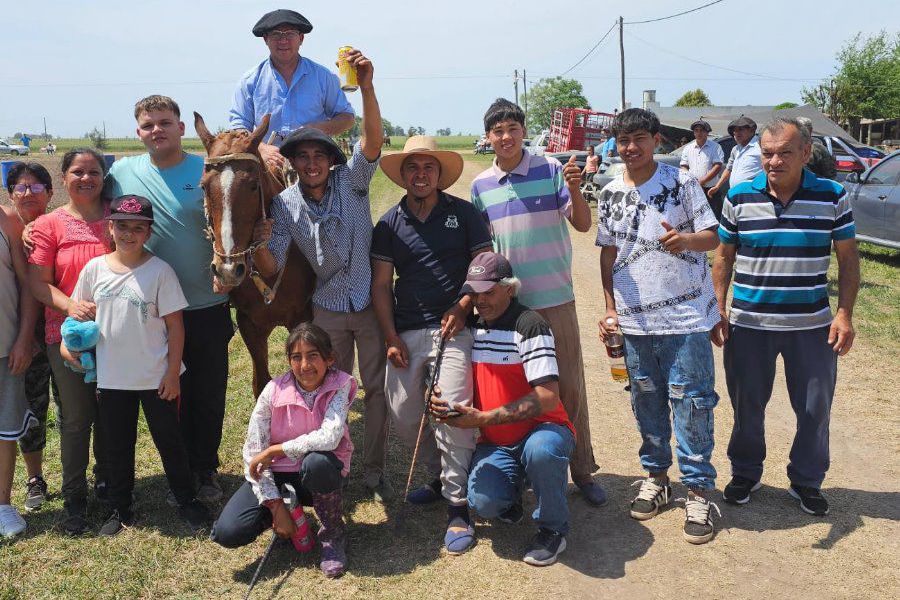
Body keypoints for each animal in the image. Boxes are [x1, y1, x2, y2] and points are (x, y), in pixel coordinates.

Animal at [192, 113, 316, 398]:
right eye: (204, 186)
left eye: (253, 185)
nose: (227, 269)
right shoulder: (250, 324)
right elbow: (261, 384)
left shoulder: (301, 316)